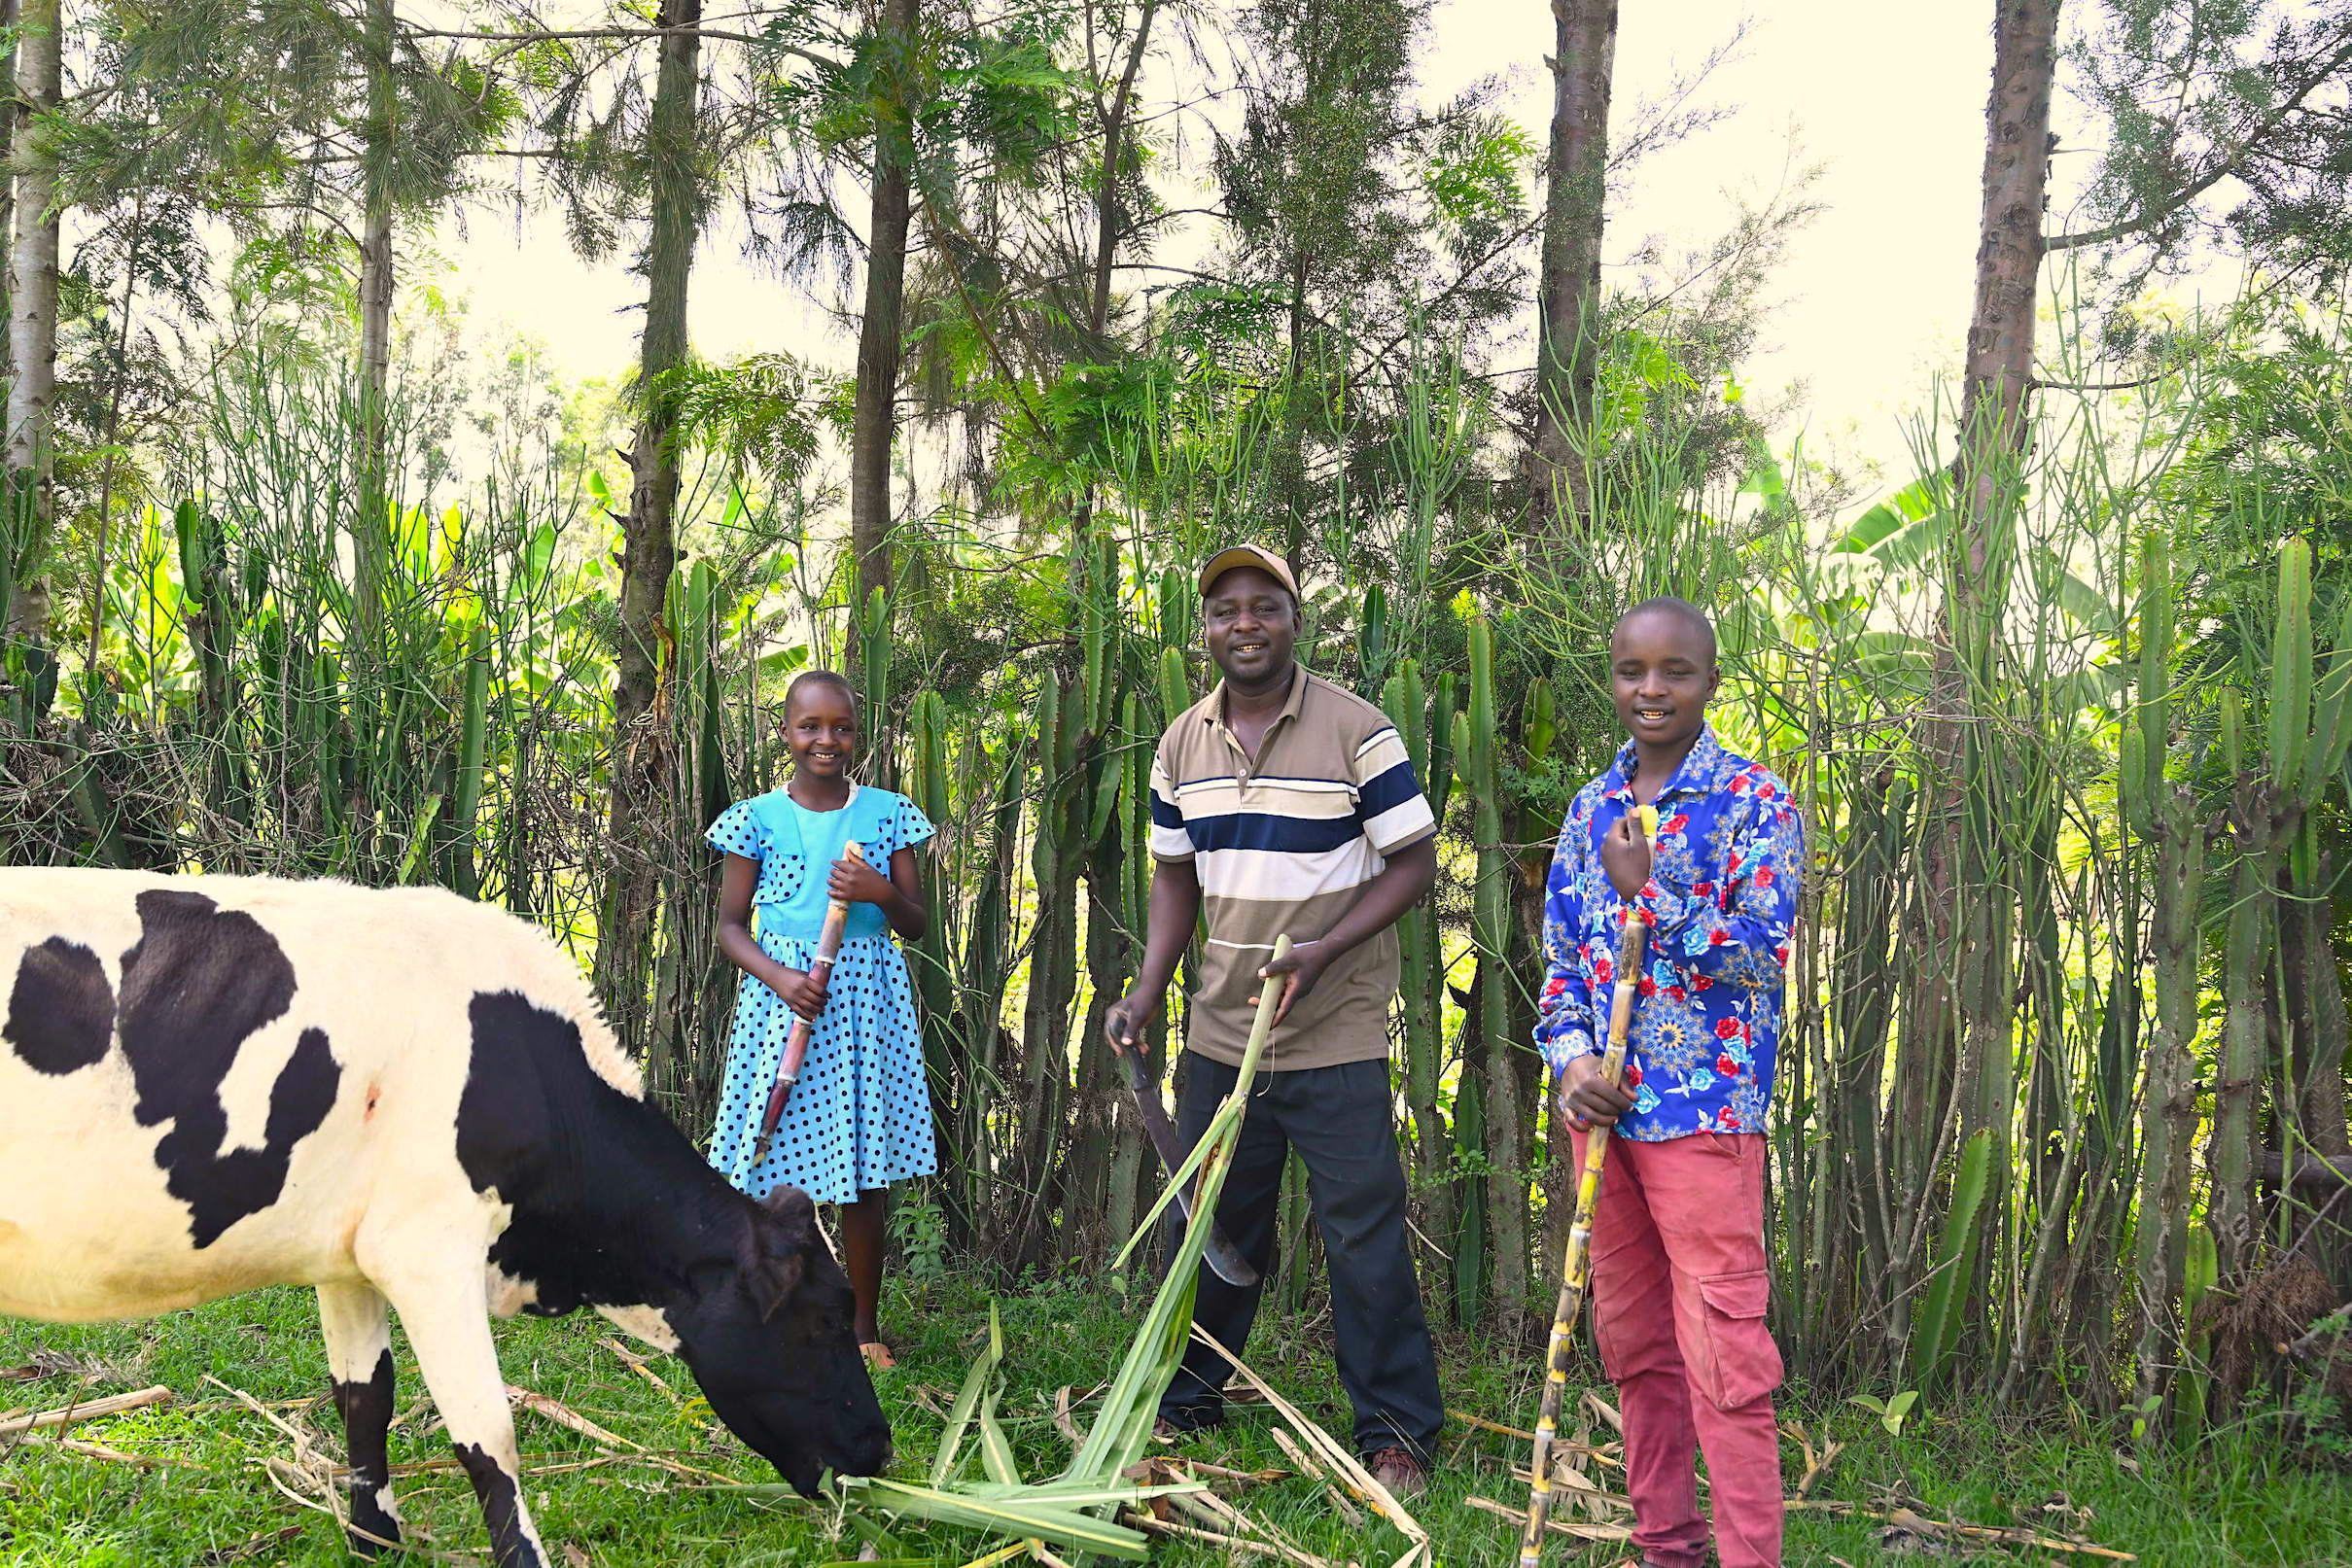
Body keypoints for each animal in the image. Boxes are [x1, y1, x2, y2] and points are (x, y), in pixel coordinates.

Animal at [0, 869, 894, 1568]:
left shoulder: (346, 1252)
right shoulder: (426, 1248)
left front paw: (374, 1544)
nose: (879, 1445)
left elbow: (365, 1399)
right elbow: (487, 1433)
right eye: (823, 1319)